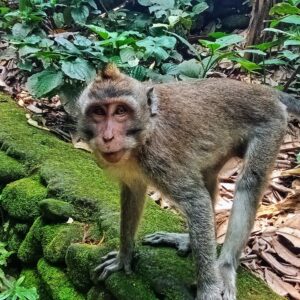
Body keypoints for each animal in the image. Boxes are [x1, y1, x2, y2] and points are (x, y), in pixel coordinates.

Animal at [78, 63, 300, 300]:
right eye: (98, 112)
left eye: (121, 111)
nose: (108, 137)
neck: (143, 136)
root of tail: (265, 91)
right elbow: (133, 193)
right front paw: (123, 257)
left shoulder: (161, 160)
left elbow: (196, 201)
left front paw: (209, 290)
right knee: (208, 178)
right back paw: (189, 240)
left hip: (271, 126)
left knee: (249, 183)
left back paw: (225, 267)